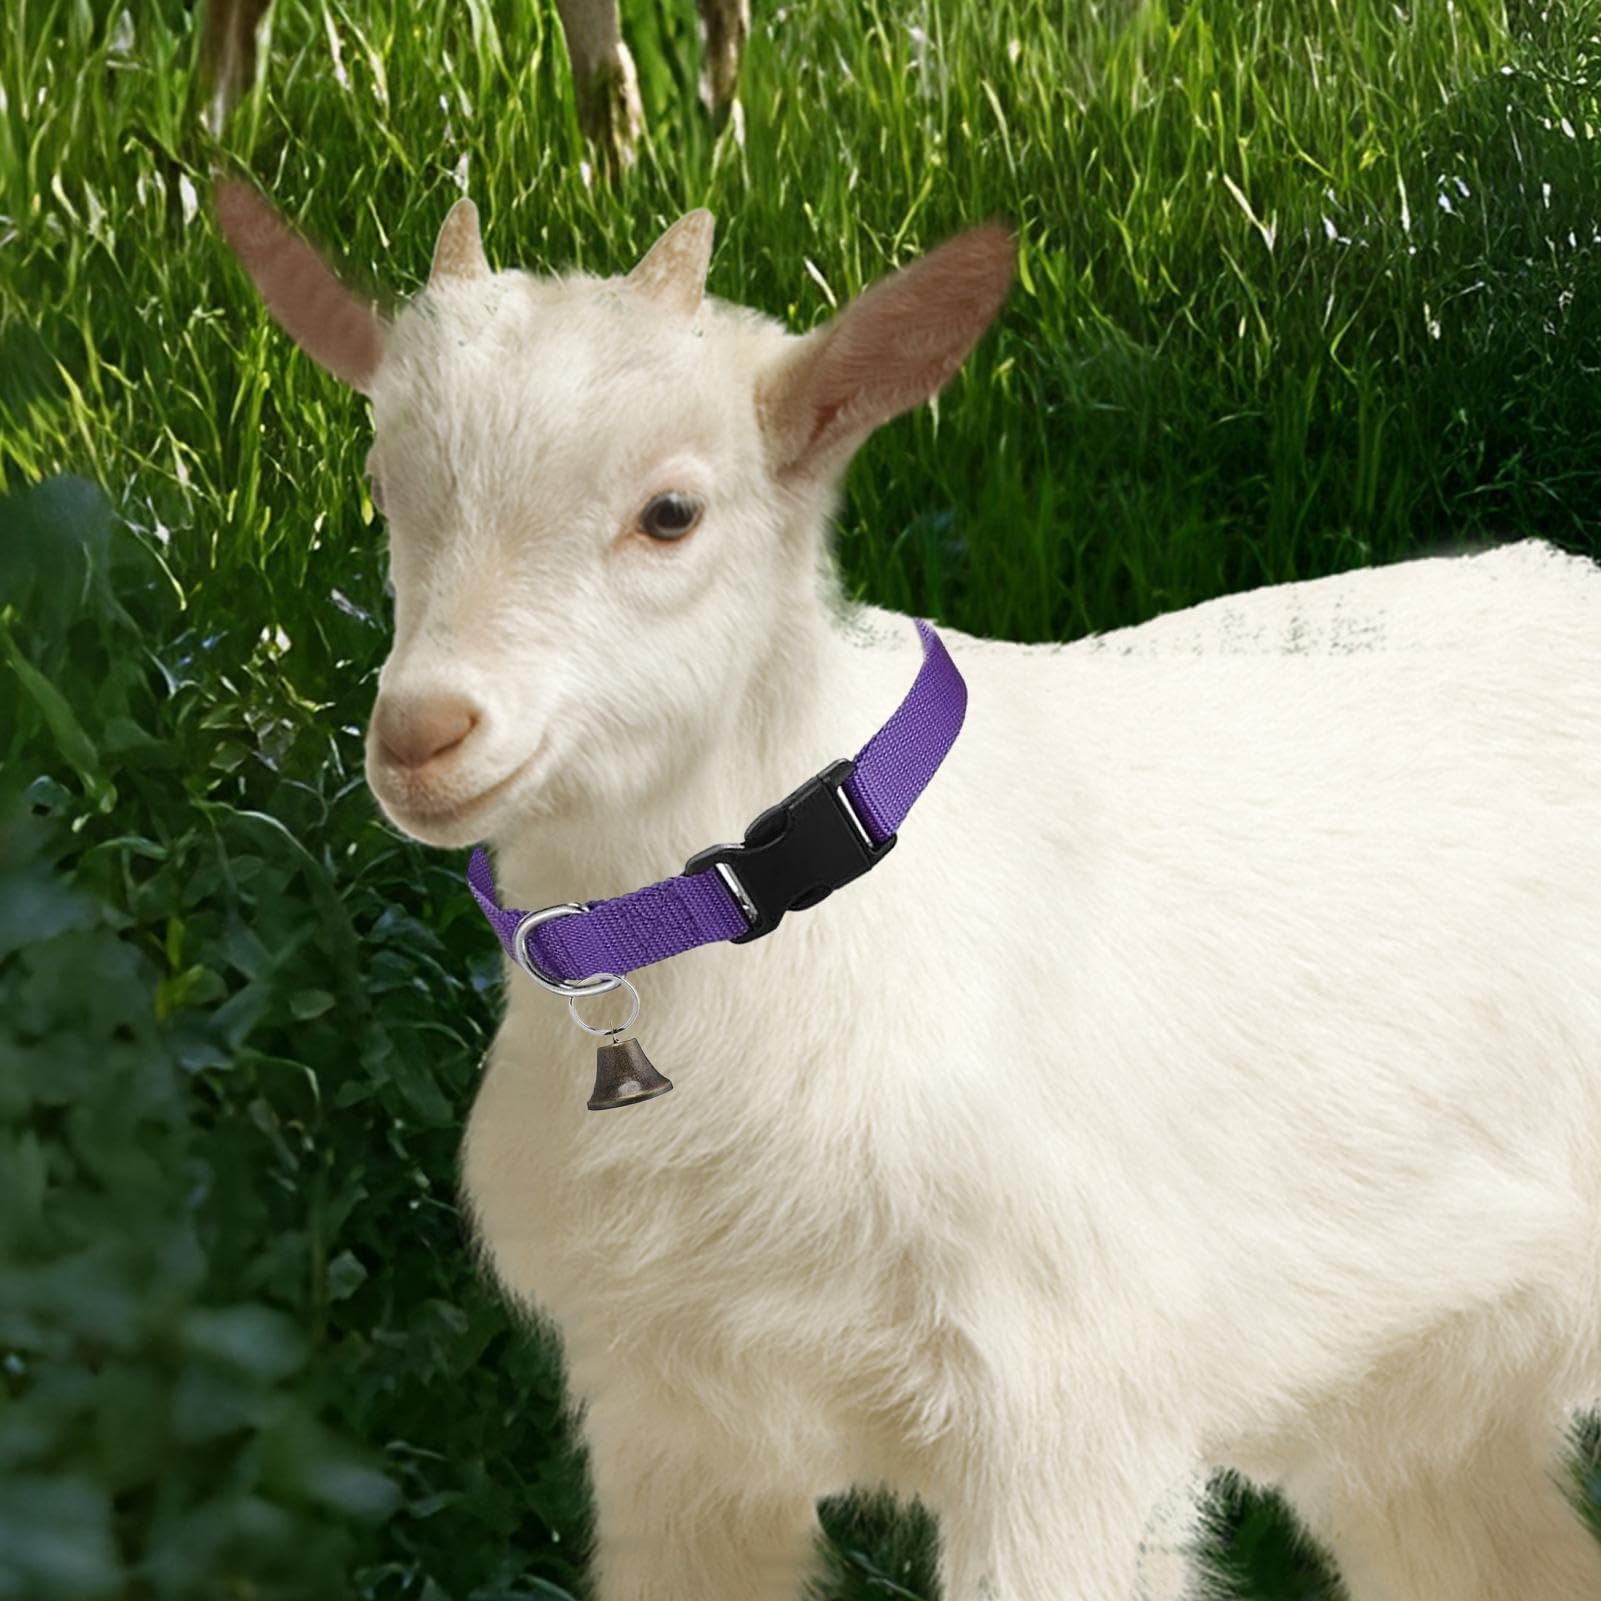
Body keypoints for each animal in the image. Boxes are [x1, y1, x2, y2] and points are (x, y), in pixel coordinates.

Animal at [215, 176, 1601, 1601]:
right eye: (382, 482)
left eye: (671, 511)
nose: (423, 733)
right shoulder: (669, 1421)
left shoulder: (1061, 1411)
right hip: (1418, 1398)